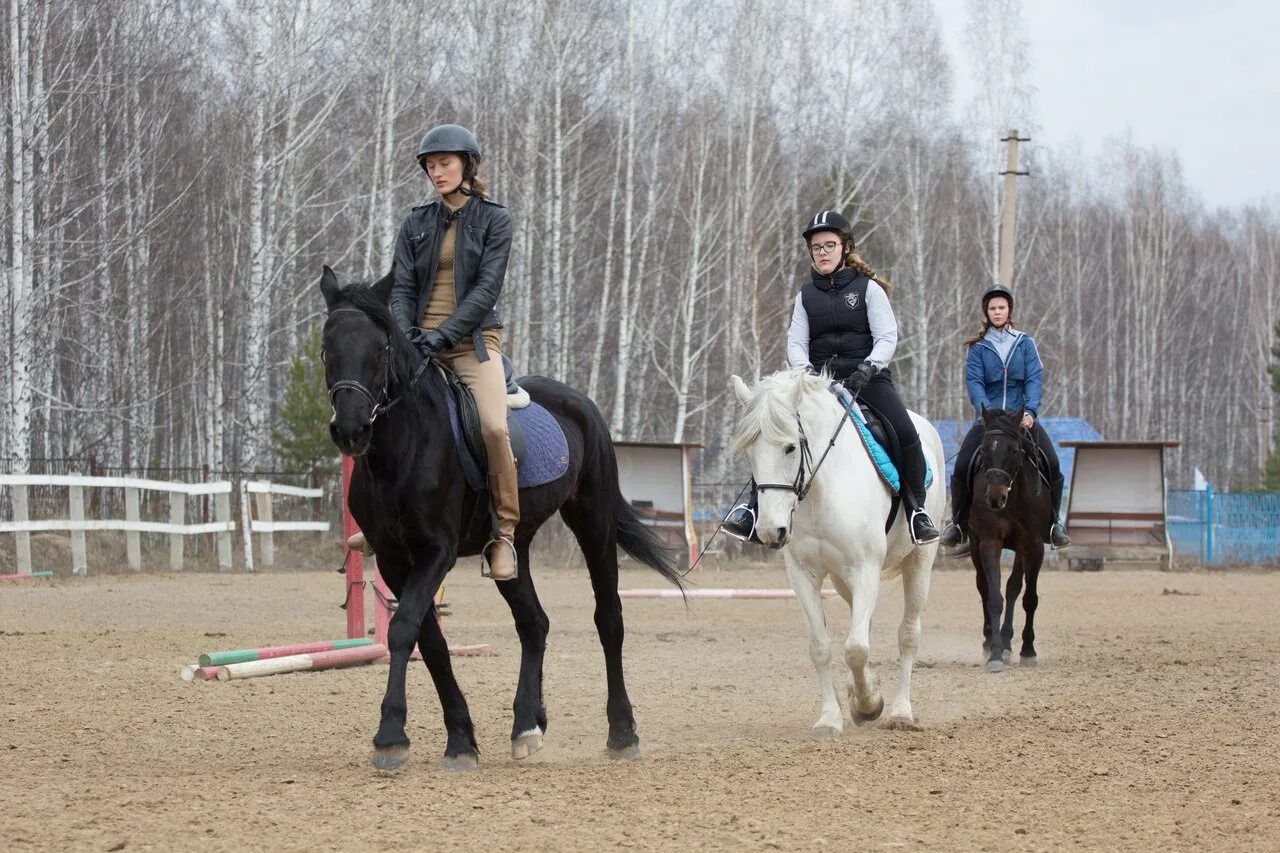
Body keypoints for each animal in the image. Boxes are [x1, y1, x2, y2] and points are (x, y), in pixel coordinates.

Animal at [320, 267, 680, 768]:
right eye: (326, 349)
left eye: (380, 349)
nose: (351, 430)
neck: (402, 449)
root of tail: (580, 402)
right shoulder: (393, 558)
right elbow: (430, 642)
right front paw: (460, 739)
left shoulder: (436, 551)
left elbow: (403, 629)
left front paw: (391, 736)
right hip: (513, 546)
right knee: (534, 623)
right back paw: (528, 725)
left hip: (594, 521)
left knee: (609, 618)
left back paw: (622, 733)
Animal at [732, 368, 952, 732]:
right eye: (750, 452)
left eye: (790, 447)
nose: (770, 531)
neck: (821, 490)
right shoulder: (803, 574)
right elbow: (822, 647)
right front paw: (831, 717)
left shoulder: (865, 569)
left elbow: (856, 648)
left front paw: (868, 705)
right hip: (840, 579)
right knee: (861, 623)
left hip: (919, 560)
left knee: (907, 633)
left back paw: (900, 712)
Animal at [962, 404, 1054, 671]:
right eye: (984, 449)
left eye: (1013, 450)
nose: (995, 497)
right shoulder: (989, 542)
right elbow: (994, 598)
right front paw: (994, 653)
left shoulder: (1034, 546)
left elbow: (1029, 598)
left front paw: (1028, 651)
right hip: (975, 544)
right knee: (983, 587)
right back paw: (991, 641)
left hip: (1021, 550)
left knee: (1014, 587)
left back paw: (1007, 642)